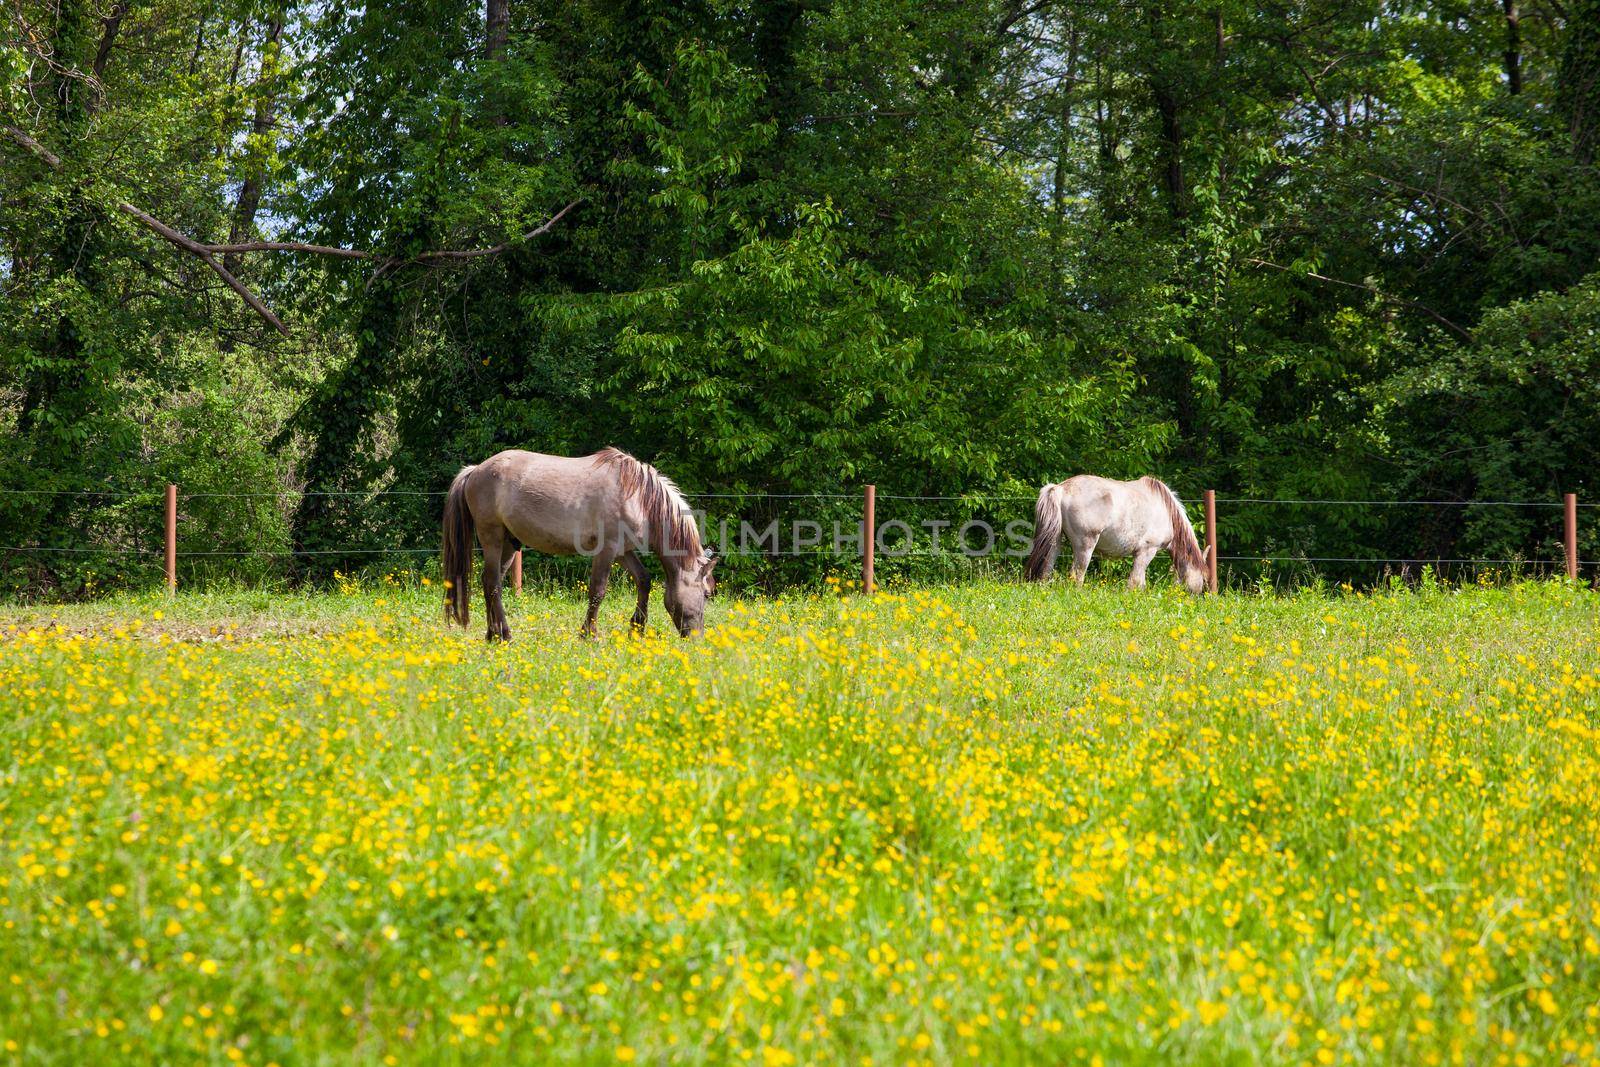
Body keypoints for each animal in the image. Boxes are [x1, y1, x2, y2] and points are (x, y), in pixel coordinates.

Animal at [438, 447, 713, 639]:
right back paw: (505, 634)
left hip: (509, 543)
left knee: (488, 583)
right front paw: (588, 635)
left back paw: (492, 635)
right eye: (707, 594)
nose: (696, 639)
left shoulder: (623, 551)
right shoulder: (607, 550)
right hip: (492, 537)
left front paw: (636, 629)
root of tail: (475, 471)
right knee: (493, 584)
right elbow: (597, 591)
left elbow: (643, 580)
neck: (639, 497)